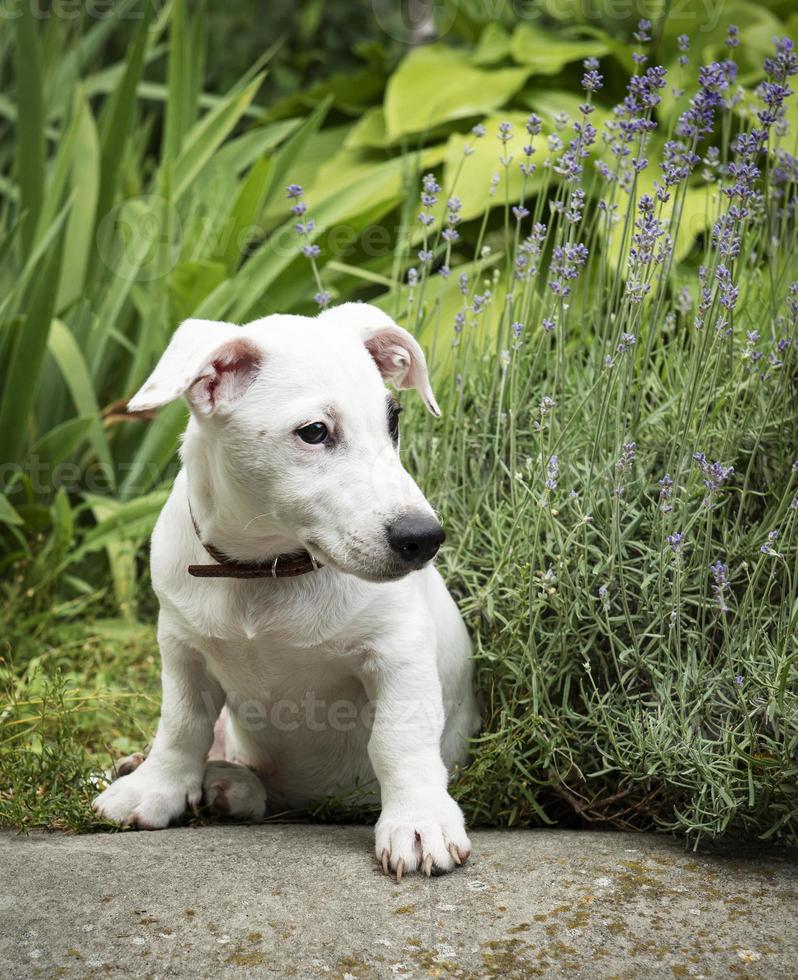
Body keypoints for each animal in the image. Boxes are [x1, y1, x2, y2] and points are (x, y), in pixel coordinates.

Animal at [94, 302, 482, 876]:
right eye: (315, 432)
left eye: (392, 420)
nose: (425, 538)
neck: (265, 570)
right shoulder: (183, 649)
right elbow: (183, 725)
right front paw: (156, 787)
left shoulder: (399, 652)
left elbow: (399, 739)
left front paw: (418, 820)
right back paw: (207, 779)